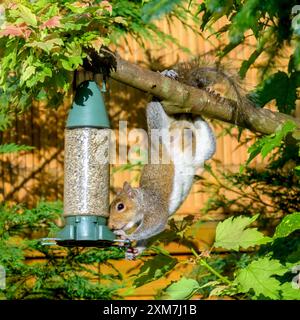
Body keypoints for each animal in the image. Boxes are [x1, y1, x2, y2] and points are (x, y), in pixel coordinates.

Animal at [108, 63, 244, 258]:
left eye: (120, 206)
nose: (111, 226)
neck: (143, 199)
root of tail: (176, 123)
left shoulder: (155, 207)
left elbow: (155, 224)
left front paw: (127, 236)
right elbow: (147, 238)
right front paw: (133, 252)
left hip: (161, 124)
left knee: (155, 106)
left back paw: (169, 77)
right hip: (204, 147)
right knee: (198, 122)